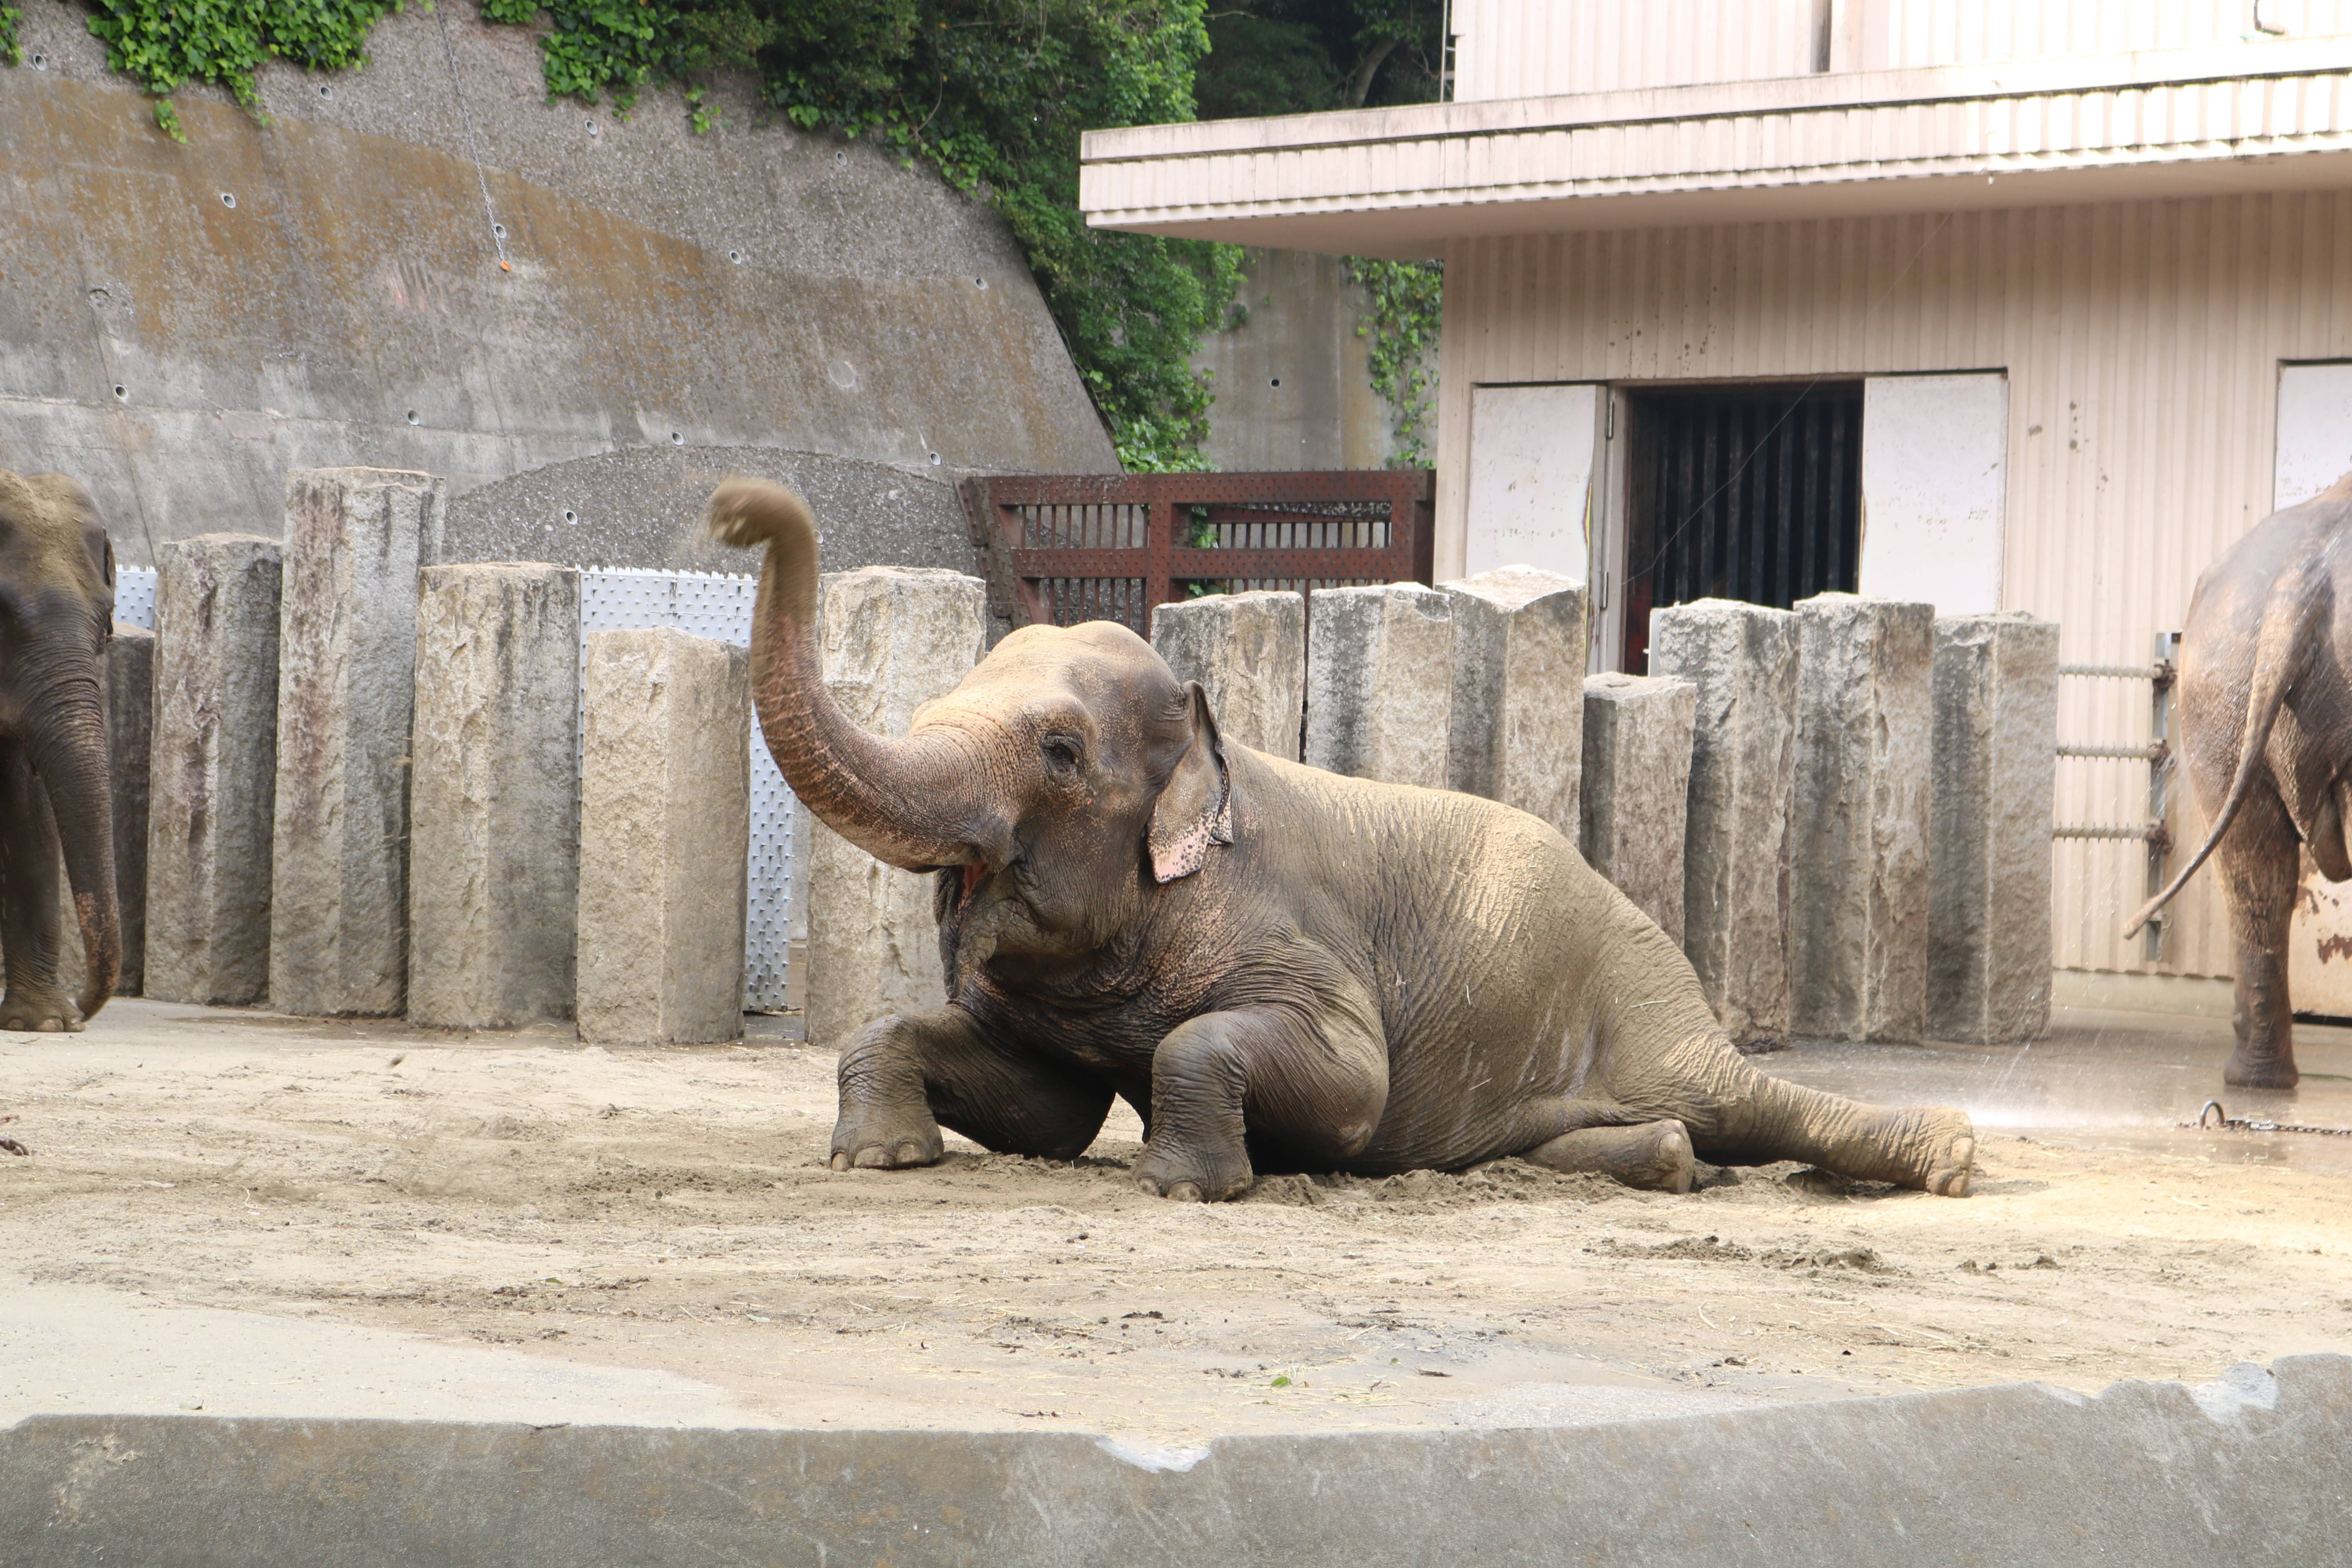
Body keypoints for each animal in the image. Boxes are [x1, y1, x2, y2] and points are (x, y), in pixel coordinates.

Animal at [706, 479, 1976, 1203]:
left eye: (1059, 751)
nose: (733, 510)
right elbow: (1045, 1111)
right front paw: (879, 1162)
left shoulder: (1294, 933)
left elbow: (1340, 1080)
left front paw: (1185, 1190)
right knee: (1635, 1127)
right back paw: (1664, 1165)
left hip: (1642, 993)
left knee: (1738, 1097)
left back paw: (1950, 1158)